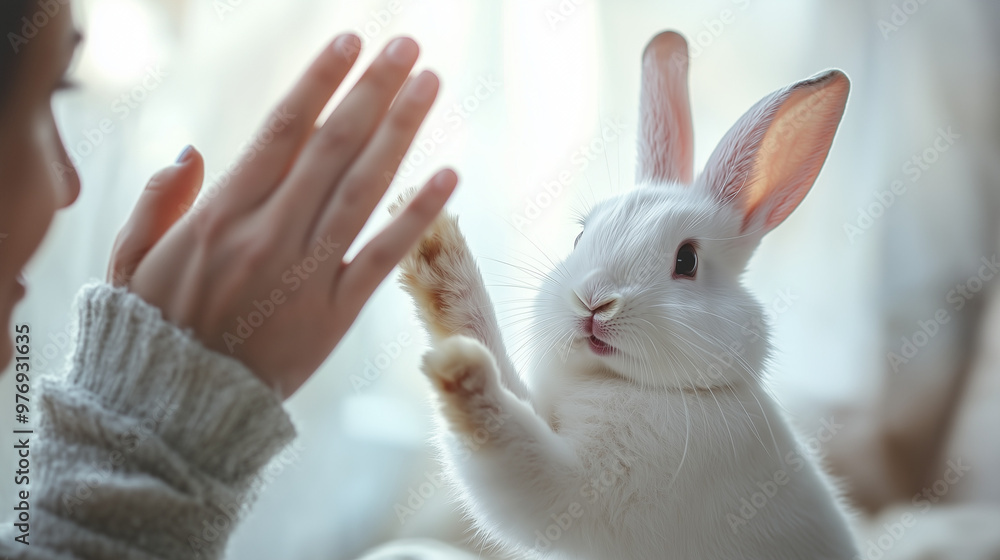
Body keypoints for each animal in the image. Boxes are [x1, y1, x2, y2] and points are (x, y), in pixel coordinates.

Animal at [393, 31, 858, 560]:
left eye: (687, 261)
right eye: (580, 237)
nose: (593, 302)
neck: (621, 382)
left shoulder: (577, 493)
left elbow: (510, 446)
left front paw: (461, 374)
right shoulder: (543, 410)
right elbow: (499, 367)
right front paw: (433, 249)